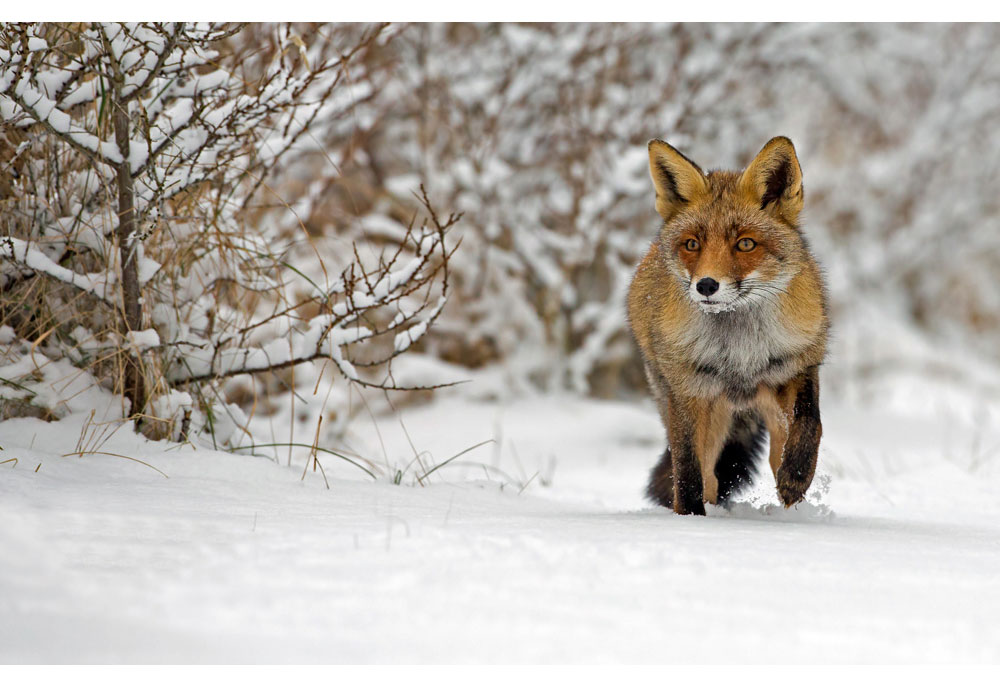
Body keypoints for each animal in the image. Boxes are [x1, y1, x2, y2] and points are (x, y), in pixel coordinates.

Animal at [624, 137, 828, 516]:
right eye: (692, 244)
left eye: (745, 243)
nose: (706, 285)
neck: (739, 351)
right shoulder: (688, 390)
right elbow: (688, 470)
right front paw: (690, 518)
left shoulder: (797, 367)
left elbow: (811, 424)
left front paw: (796, 477)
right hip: (701, 411)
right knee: (708, 476)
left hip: (768, 410)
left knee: (776, 454)